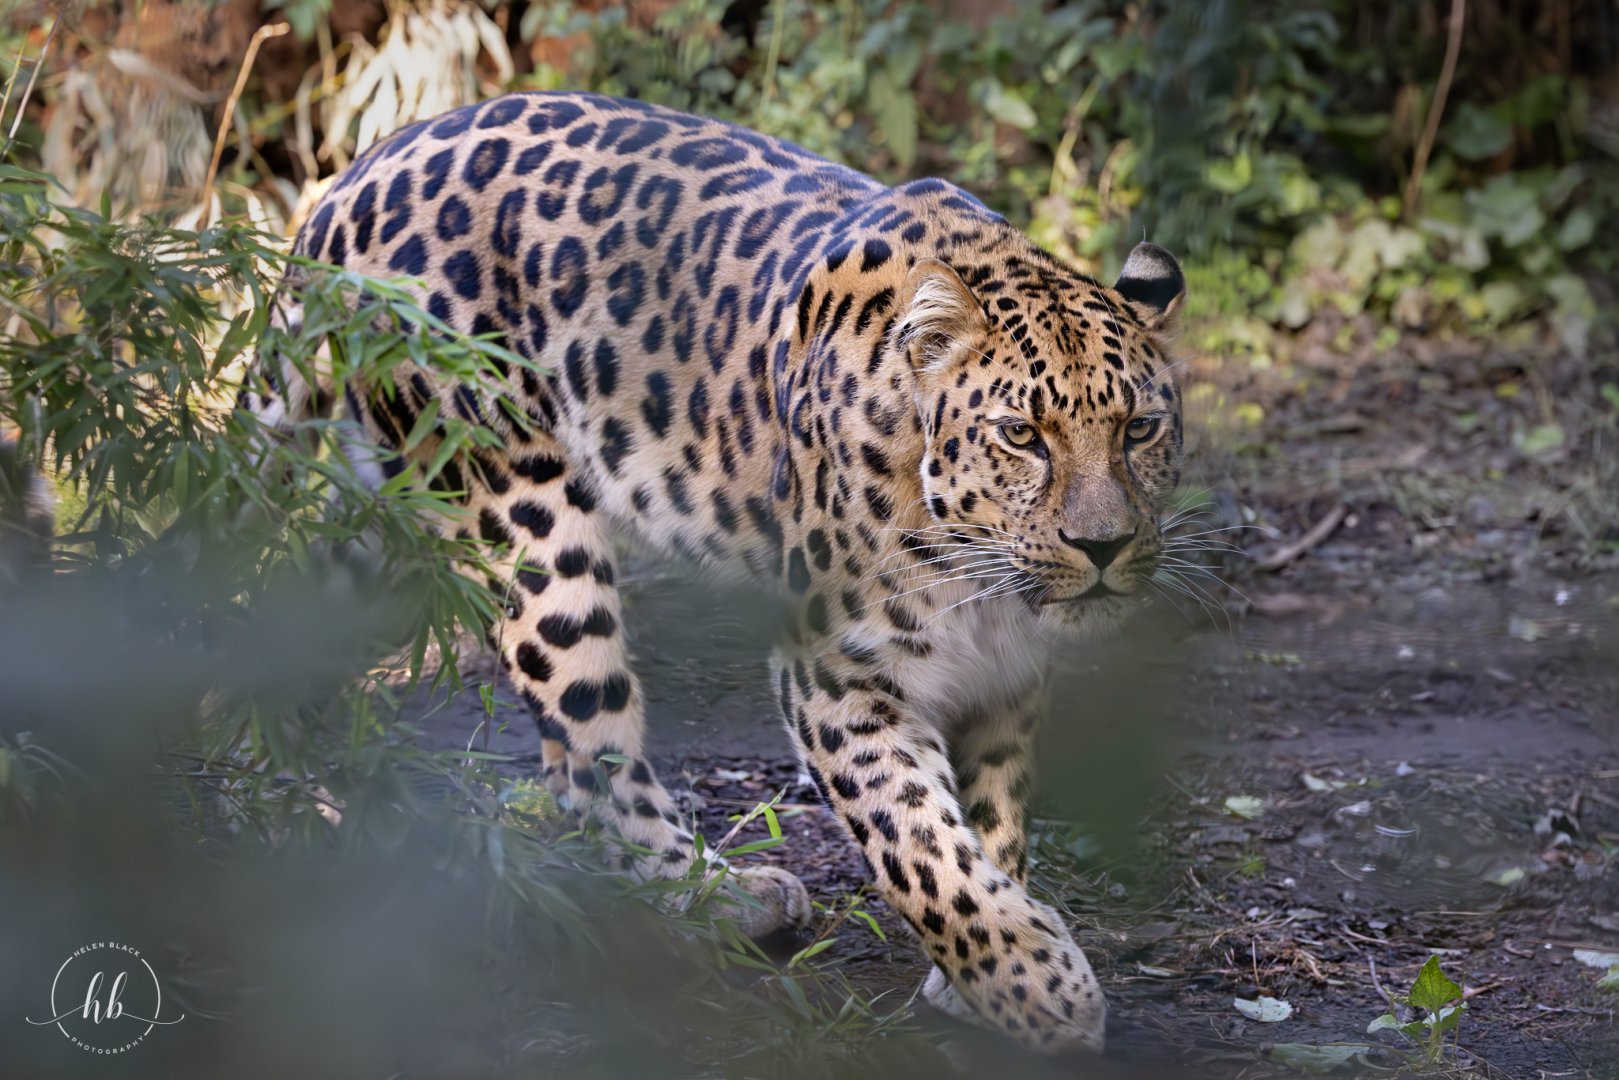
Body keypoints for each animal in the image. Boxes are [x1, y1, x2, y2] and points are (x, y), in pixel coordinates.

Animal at [244, 90, 1189, 1053]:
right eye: (1020, 435)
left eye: (1140, 429)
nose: (1103, 545)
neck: (977, 576)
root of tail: (348, 181)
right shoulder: (835, 675)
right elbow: (921, 848)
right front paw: (1036, 986)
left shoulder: (1008, 681)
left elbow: (994, 825)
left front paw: (977, 979)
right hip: (518, 518)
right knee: (589, 750)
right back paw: (717, 897)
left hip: (394, 525)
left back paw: (317, 812)